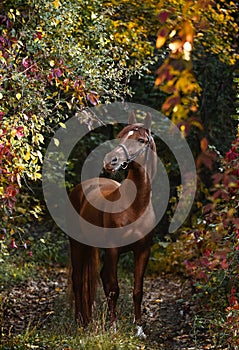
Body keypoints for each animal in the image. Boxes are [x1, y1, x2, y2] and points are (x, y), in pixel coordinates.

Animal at [68, 110, 158, 338]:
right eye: (120, 136)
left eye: (141, 140)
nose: (111, 161)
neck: (135, 206)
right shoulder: (113, 250)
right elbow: (114, 288)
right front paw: (114, 328)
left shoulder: (143, 251)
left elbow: (137, 290)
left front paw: (139, 329)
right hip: (77, 245)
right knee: (78, 280)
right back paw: (80, 322)